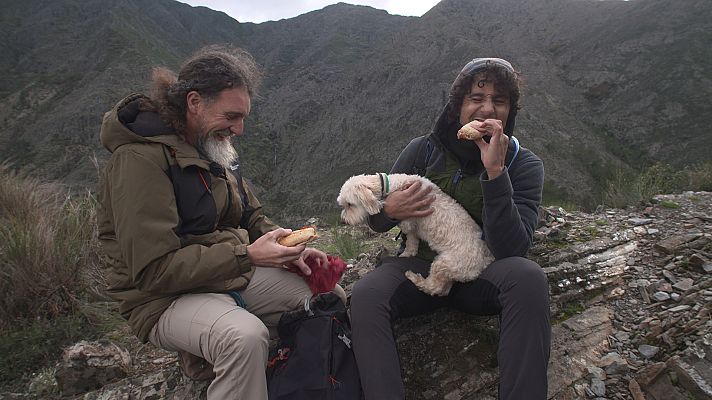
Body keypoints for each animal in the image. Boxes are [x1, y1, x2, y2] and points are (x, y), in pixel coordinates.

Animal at [336, 173, 492, 296]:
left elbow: (408, 231)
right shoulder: (412, 223)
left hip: (446, 263)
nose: (343, 220)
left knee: (434, 287)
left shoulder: (408, 219)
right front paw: (409, 252)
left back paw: (415, 278)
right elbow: (412, 239)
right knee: (444, 289)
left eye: (349, 204)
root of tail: (485, 261)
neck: (390, 185)